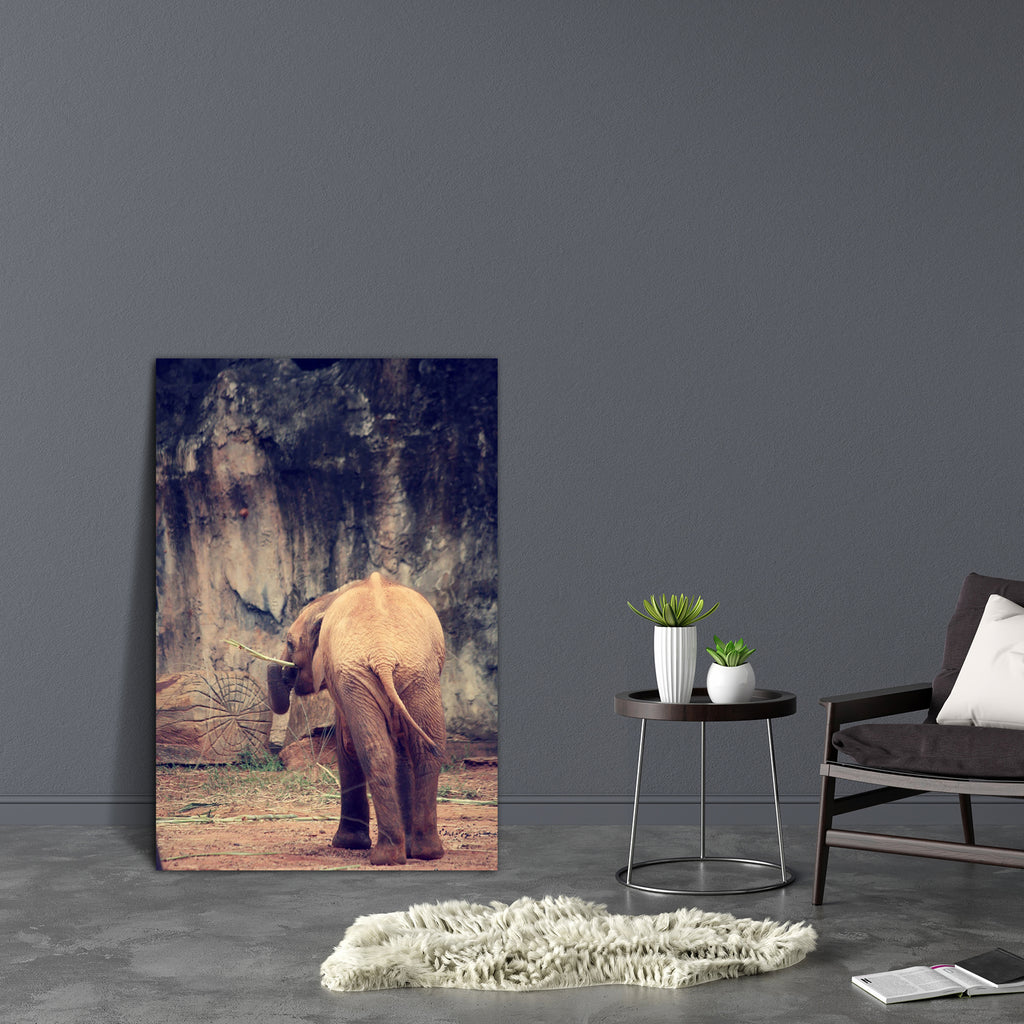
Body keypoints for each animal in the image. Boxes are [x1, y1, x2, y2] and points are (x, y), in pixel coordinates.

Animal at [267, 573, 447, 865]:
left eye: (291, 643)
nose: (285, 671)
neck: (330, 598)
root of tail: (384, 656)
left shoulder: (341, 681)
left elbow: (347, 744)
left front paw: (347, 844)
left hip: (372, 676)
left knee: (374, 750)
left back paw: (387, 856)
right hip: (418, 675)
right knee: (422, 748)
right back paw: (424, 852)